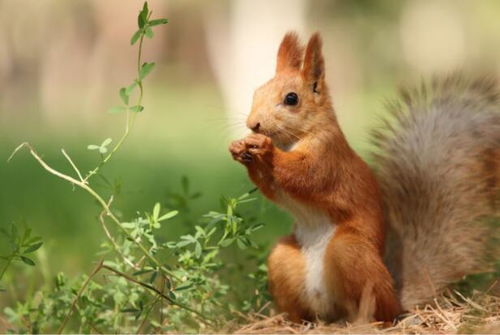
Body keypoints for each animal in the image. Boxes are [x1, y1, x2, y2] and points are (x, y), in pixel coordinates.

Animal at [229, 32, 498, 326]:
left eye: (292, 99)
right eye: (257, 92)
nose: (253, 124)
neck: (293, 141)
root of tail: (397, 297)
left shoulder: (328, 158)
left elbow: (304, 175)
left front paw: (265, 150)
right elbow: (273, 189)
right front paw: (240, 148)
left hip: (351, 252)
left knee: (379, 310)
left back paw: (366, 320)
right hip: (283, 259)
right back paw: (292, 321)